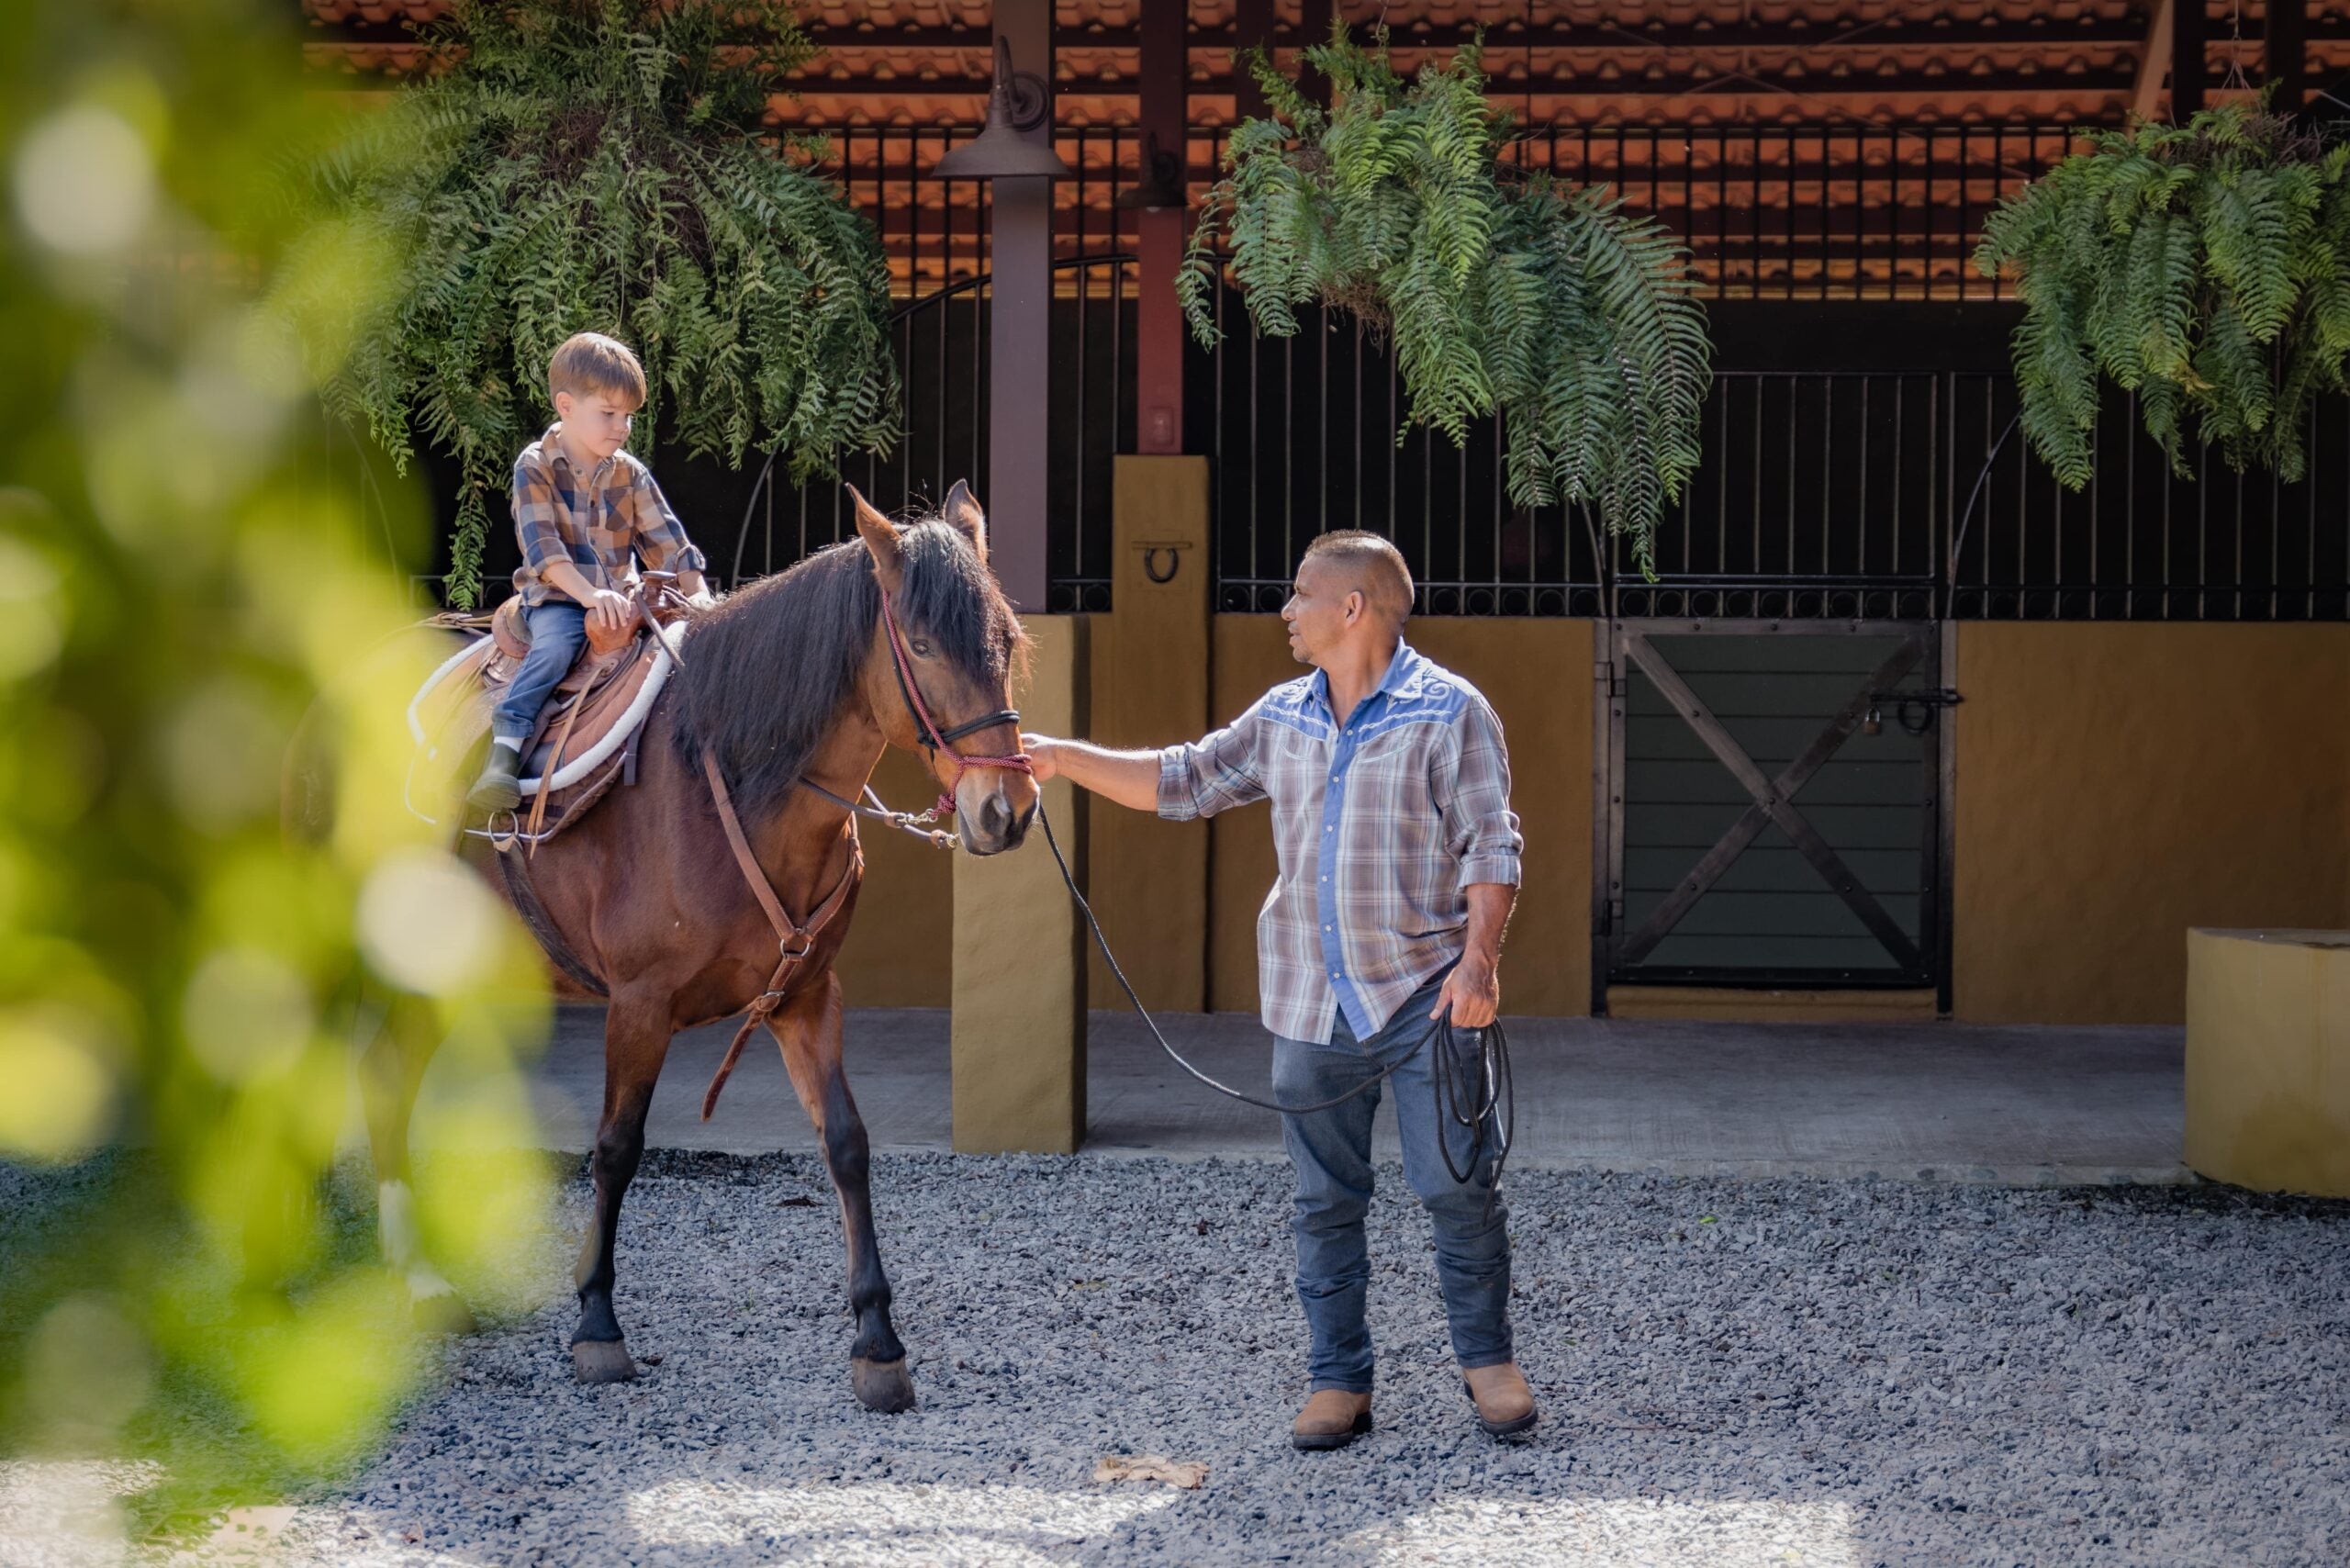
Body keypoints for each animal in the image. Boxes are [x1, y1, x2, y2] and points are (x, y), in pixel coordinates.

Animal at [354, 481, 1029, 1410]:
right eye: (924, 644)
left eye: (1007, 640)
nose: (1006, 811)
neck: (734, 785)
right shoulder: (640, 1006)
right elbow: (617, 1148)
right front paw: (597, 1326)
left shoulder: (808, 996)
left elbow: (847, 1145)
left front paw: (877, 1342)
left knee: (393, 1078)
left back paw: (417, 1279)